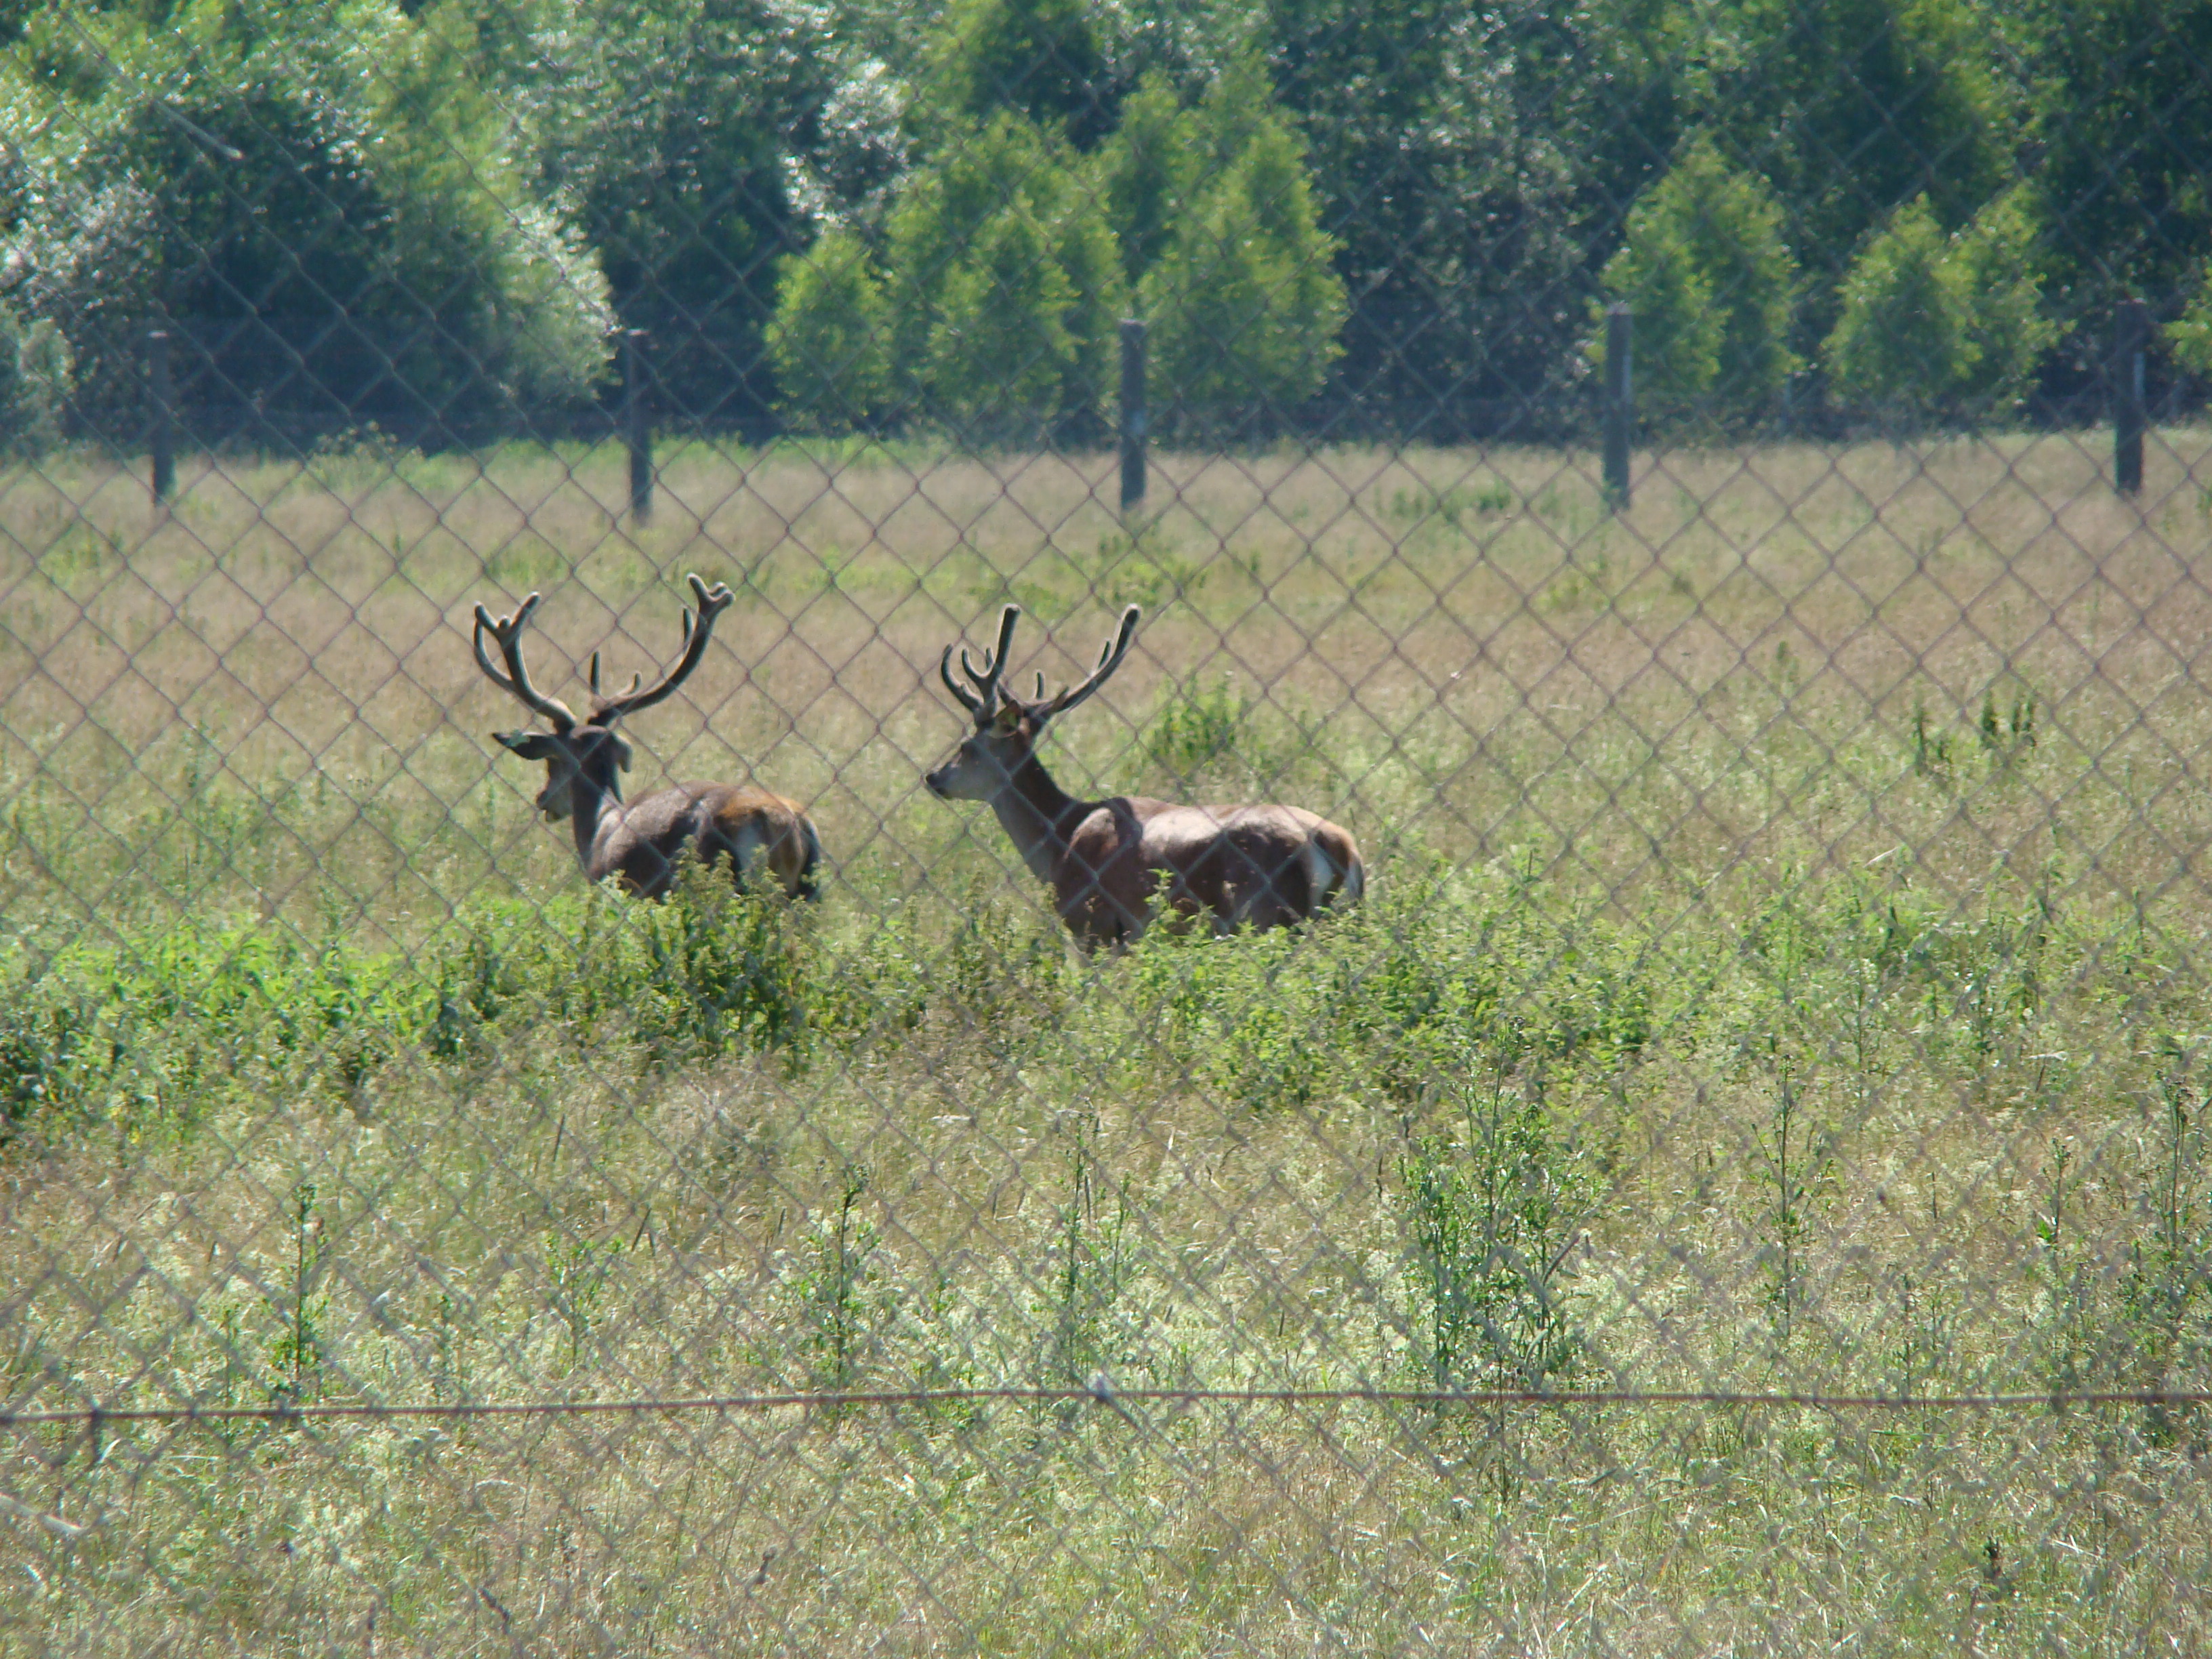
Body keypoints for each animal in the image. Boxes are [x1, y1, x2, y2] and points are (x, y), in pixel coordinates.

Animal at [925, 604, 1364, 948]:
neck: (1061, 839)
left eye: (966, 746)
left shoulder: (1093, 925)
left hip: (1268, 915)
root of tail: (1337, 847)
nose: (933, 777)